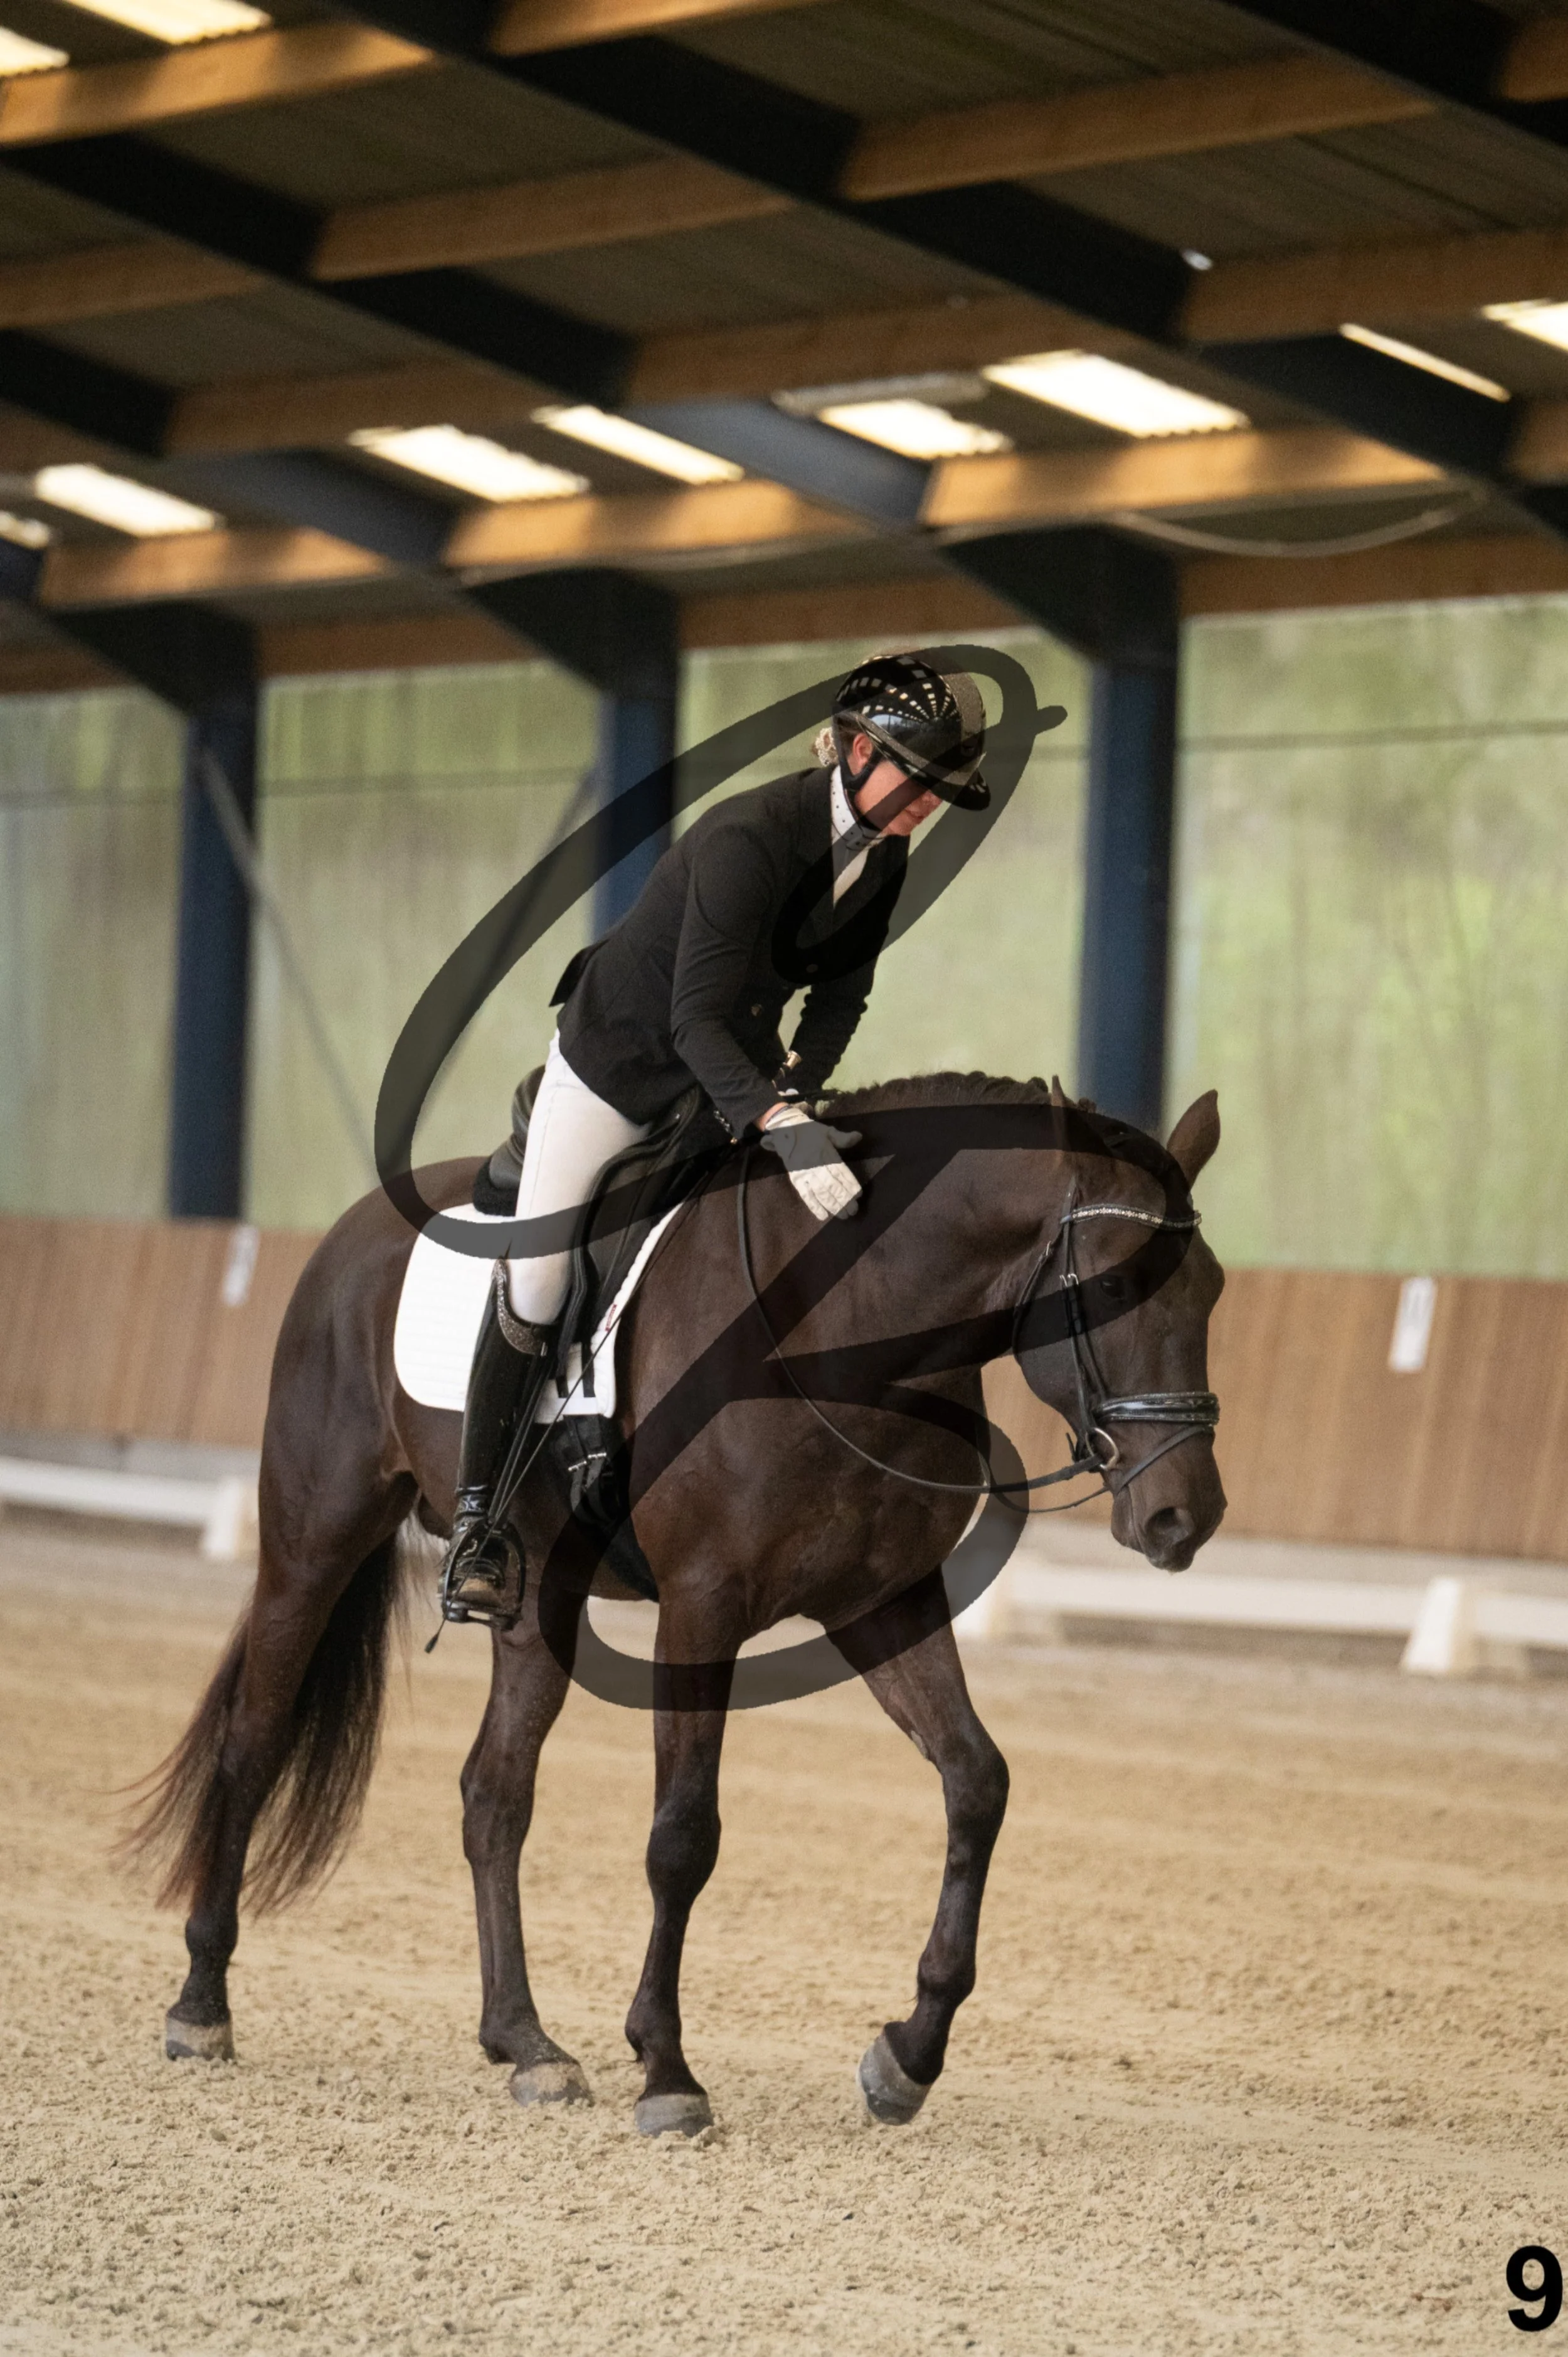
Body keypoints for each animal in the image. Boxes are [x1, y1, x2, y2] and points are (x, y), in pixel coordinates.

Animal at [128, 1074, 1226, 2136]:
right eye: (1113, 1286)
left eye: (1211, 1289)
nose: (1187, 1516)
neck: (850, 1329)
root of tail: (353, 1230)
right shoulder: (704, 1609)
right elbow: (684, 1835)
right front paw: (667, 2071)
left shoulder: (886, 1601)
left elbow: (977, 1783)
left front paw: (906, 2057)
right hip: (315, 1537)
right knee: (254, 1740)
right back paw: (201, 2004)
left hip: (535, 1598)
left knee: (494, 1795)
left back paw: (526, 2044)